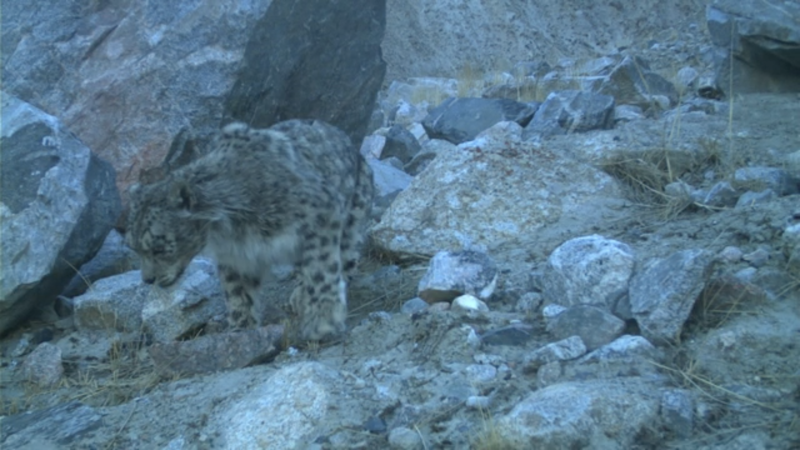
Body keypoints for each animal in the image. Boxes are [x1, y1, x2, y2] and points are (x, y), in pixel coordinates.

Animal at [124, 119, 374, 341]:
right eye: (134, 248)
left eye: (159, 248)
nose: (148, 279)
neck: (232, 229)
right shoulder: (235, 256)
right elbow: (237, 294)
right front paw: (240, 330)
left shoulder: (319, 213)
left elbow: (321, 272)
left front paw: (323, 323)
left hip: (353, 221)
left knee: (344, 259)